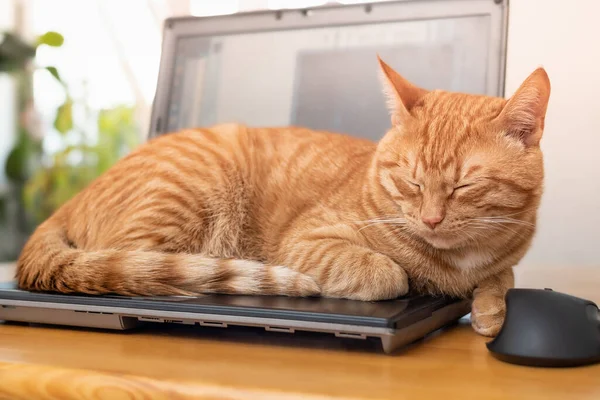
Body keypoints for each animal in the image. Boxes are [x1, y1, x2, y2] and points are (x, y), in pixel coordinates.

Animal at [15, 57, 548, 336]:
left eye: (464, 186)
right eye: (410, 181)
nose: (432, 220)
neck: (456, 261)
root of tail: (69, 202)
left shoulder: (505, 257)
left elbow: (504, 278)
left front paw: (490, 309)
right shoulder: (307, 242)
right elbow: (388, 273)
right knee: (142, 269)